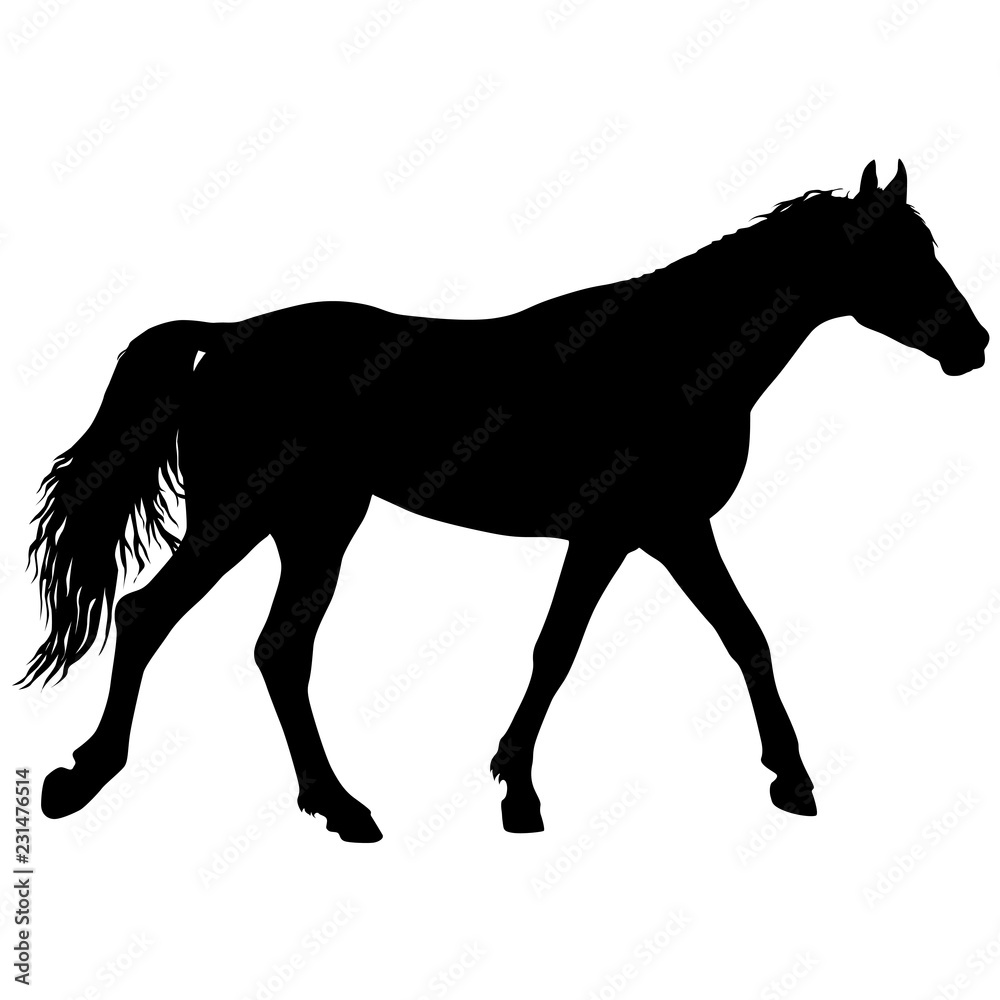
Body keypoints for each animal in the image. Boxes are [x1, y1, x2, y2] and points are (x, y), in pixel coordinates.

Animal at [22, 159, 988, 842]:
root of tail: (226, 341)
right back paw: (82, 779)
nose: (972, 344)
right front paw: (520, 792)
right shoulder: (635, 530)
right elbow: (564, 652)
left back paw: (340, 808)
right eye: (895, 255)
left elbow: (730, 637)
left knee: (278, 653)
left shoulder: (657, 532)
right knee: (150, 615)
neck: (669, 357)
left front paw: (789, 776)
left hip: (315, 525)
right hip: (248, 516)